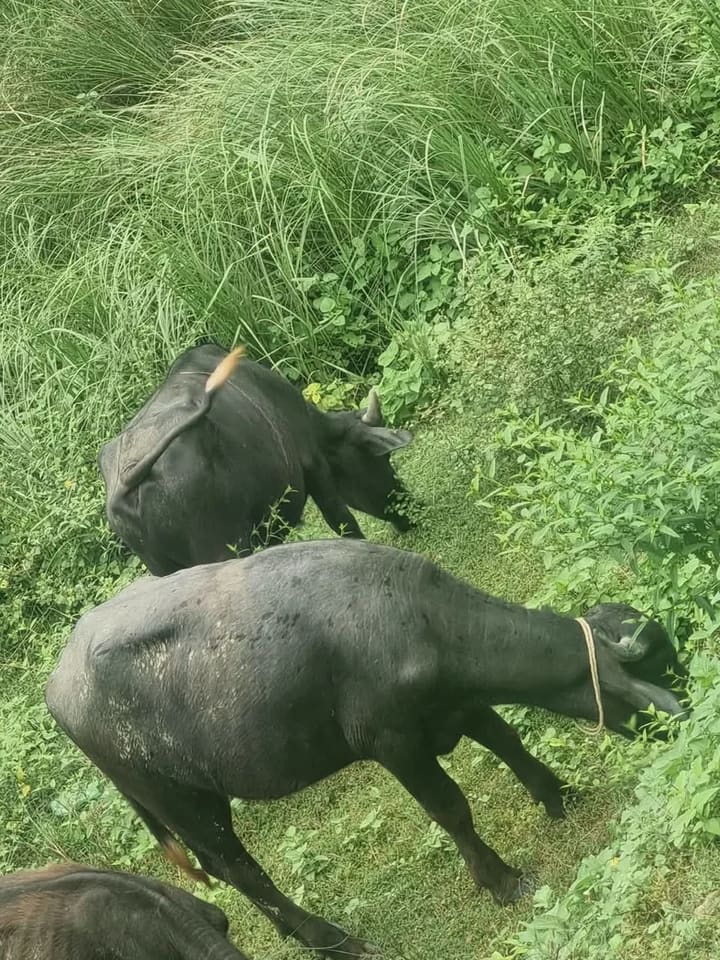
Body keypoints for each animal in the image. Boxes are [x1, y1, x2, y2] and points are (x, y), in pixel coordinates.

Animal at [46, 539, 685, 958]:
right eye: (658, 670)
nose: (692, 711)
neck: (419, 620)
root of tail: (62, 680)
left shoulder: (456, 704)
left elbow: (508, 738)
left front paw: (557, 796)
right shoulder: (394, 741)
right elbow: (450, 808)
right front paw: (501, 881)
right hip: (185, 802)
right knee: (238, 869)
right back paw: (333, 938)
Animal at [99, 343, 413, 575]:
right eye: (383, 459)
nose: (409, 510)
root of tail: (129, 479)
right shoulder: (315, 467)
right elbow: (343, 522)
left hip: (162, 568)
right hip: (224, 548)